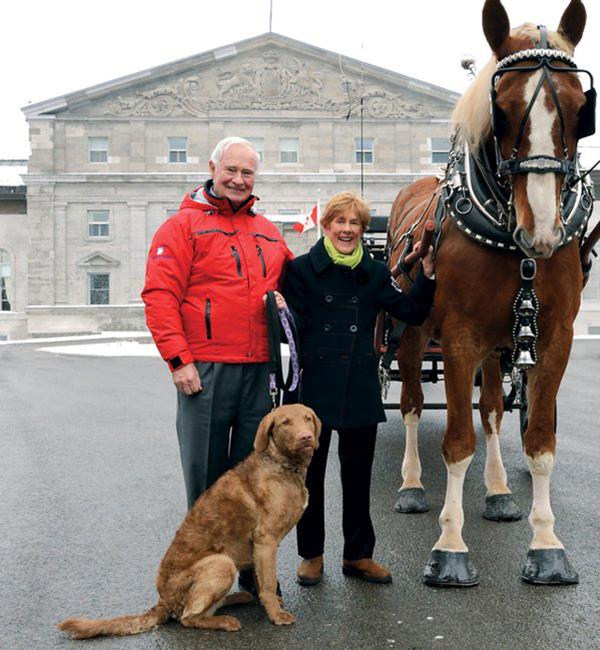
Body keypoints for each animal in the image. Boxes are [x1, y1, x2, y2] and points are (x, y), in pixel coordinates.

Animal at [58, 402, 322, 636]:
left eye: (307, 418)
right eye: (285, 422)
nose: (306, 437)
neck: (283, 466)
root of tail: (163, 601)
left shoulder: (261, 547)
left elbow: (261, 578)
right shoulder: (265, 540)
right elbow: (267, 583)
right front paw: (275, 614)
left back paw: (237, 598)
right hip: (221, 563)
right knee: (188, 617)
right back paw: (225, 620)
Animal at [386, 0, 596, 584]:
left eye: (581, 107)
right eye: (500, 109)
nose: (542, 230)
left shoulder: (552, 338)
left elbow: (537, 439)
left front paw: (546, 545)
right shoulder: (458, 336)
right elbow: (456, 441)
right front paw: (450, 547)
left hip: (497, 345)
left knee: (494, 411)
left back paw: (500, 491)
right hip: (412, 336)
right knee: (413, 405)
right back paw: (412, 485)